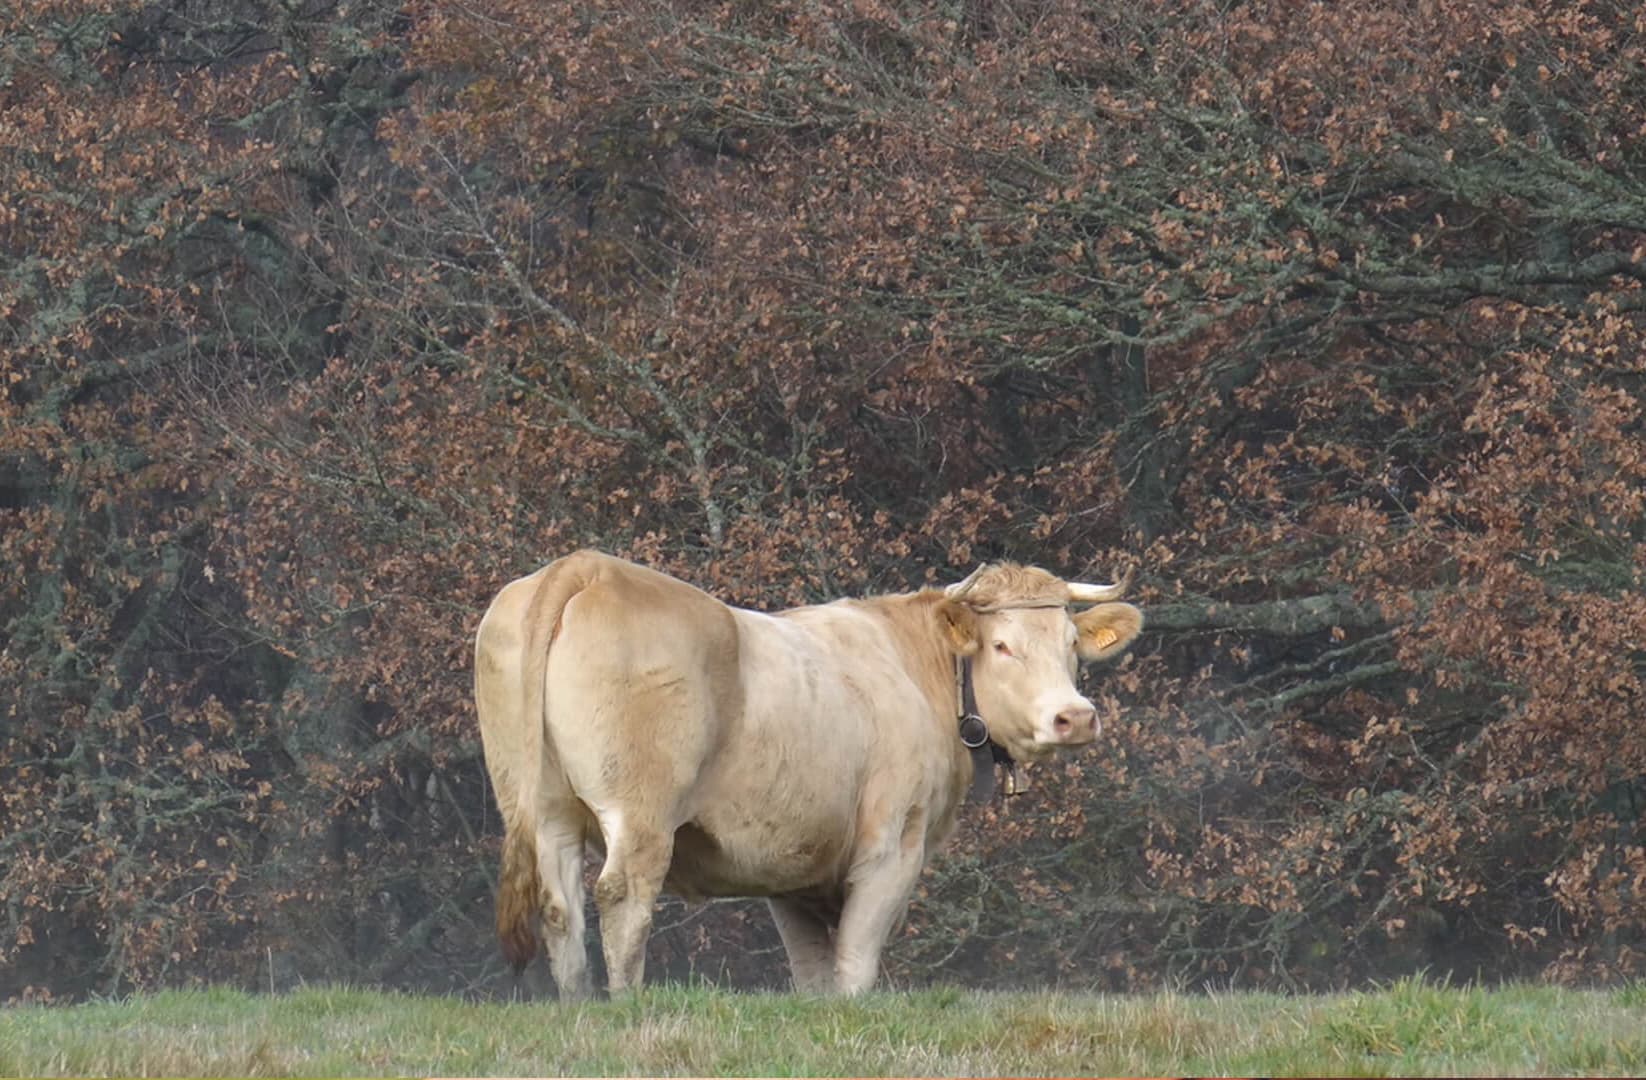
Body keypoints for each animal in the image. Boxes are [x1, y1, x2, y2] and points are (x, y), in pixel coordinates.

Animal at [474, 553, 1145, 1000]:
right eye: (1002, 646)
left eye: (1071, 643)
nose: (1074, 717)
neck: (914, 665)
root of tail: (589, 565)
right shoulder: (892, 845)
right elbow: (855, 963)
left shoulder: (792, 870)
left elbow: (813, 973)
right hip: (639, 813)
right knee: (622, 896)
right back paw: (626, 1006)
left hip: (543, 807)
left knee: (559, 906)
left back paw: (578, 1006)